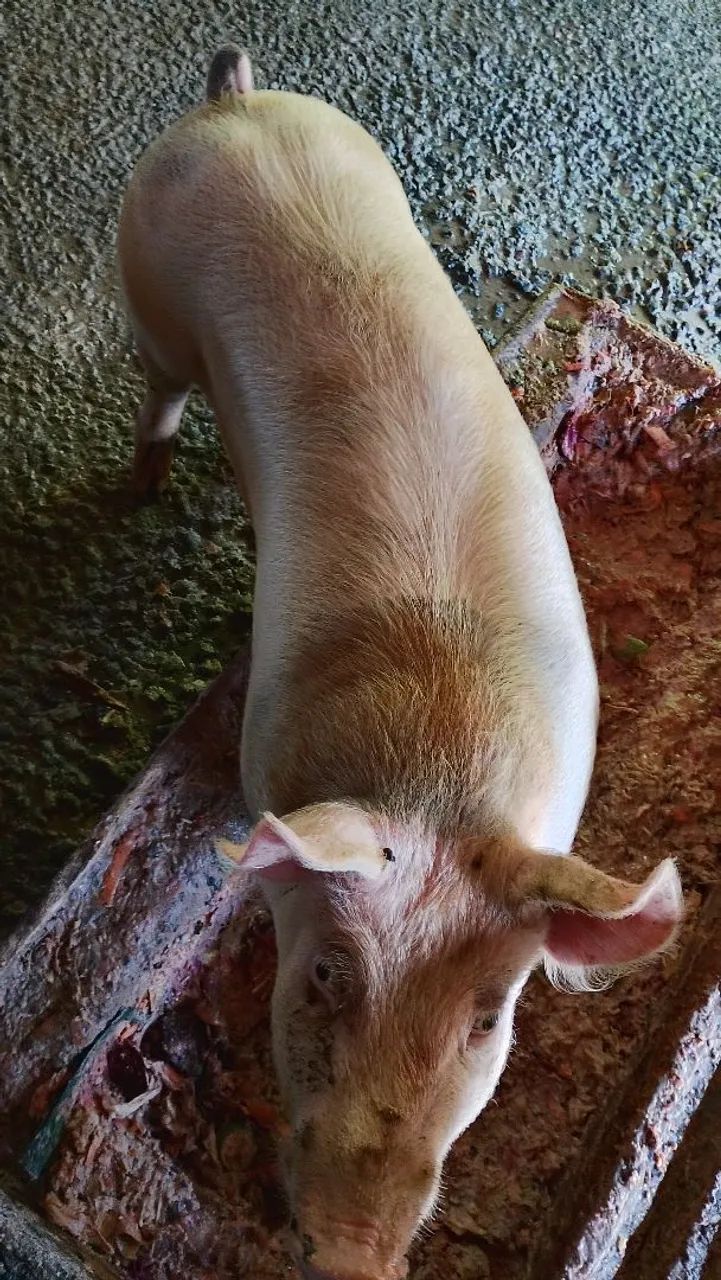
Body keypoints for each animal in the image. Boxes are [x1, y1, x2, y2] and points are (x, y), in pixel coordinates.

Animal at [118, 45, 683, 1280]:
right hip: (145, 293)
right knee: (158, 390)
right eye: (326, 974)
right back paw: (140, 486)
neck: (436, 756)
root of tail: (237, 103)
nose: (354, 1252)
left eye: (488, 1017)